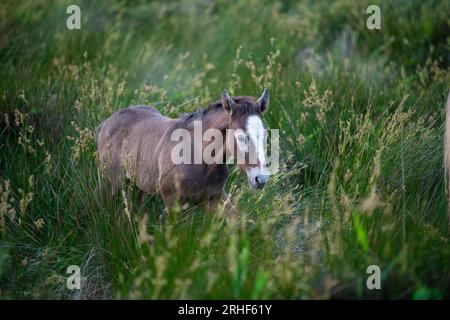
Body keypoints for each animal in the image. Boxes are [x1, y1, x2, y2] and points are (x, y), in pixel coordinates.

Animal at [96, 87, 268, 209]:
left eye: (266, 135)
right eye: (242, 137)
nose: (260, 179)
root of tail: (106, 122)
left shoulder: (215, 198)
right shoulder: (172, 203)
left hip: (139, 187)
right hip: (113, 184)